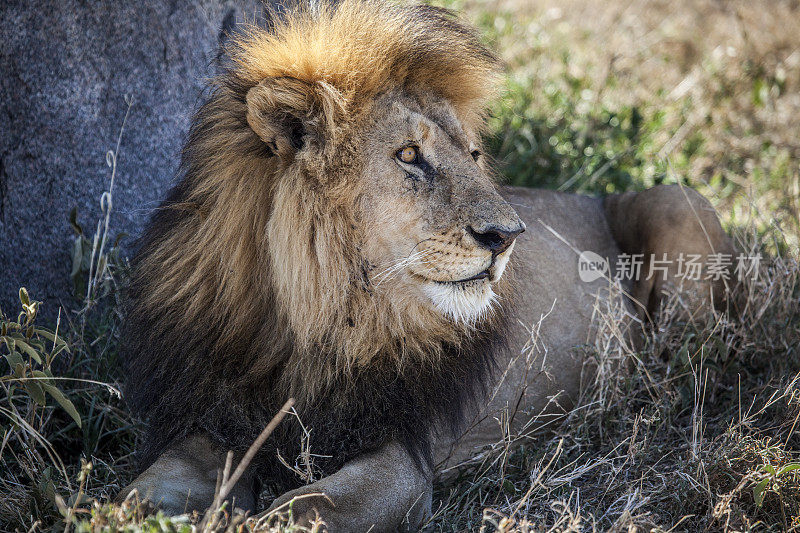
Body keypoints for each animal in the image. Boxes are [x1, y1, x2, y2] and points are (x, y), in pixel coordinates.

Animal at [119, 2, 736, 528]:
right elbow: (146, 488)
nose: (508, 236)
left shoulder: (402, 457)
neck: (308, 320)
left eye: (474, 155)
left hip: (677, 200)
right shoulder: (211, 415)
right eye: (409, 155)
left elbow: (307, 508)